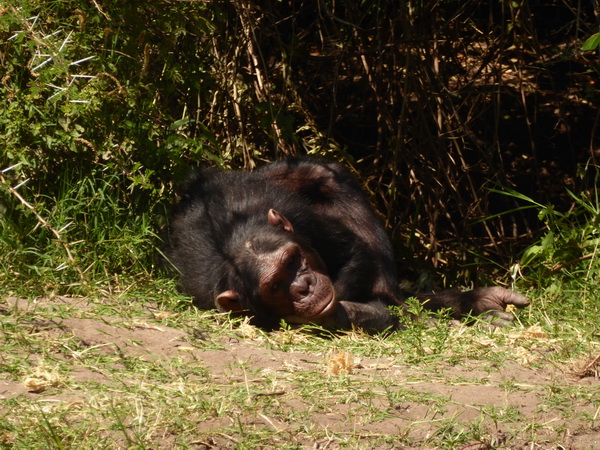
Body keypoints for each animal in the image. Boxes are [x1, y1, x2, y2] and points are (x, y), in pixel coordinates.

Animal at [164, 158, 528, 330]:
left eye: (293, 259)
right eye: (276, 285)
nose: (303, 287)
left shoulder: (301, 220)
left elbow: (357, 252)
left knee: (321, 175)